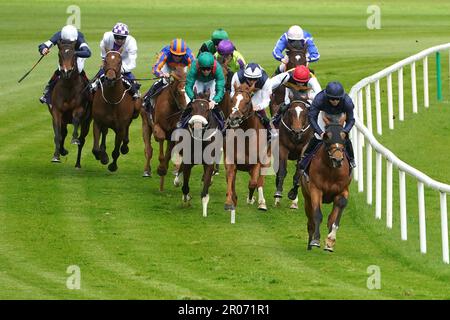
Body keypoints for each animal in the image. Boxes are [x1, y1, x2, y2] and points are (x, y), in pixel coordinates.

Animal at [49, 40, 91, 168]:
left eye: (74, 55)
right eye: (59, 54)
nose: (66, 72)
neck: (68, 86)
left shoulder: (79, 108)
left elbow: (76, 120)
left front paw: (74, 139)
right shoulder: (57, 112)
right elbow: (58, 135)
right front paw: (56, 155)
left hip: (87, 122)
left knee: (82, 140)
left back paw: (77, 163)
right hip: (64, 121)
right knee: (63, 133)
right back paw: (62, 151)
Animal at [225, 81, 270, 224]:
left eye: (247, 101)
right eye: (232, 100)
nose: (233, 118)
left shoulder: (257, 163)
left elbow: (253, 183)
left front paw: (250, 199)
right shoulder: (230, 161)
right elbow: (230, 179)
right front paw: (230, 202)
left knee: (259, 181)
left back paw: (261, 202)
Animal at [294, 114, 354, 251]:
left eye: (344, 137)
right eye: (327, 136)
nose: (337, 159)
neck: (331, 169)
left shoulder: (343, 190)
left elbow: (337, 212)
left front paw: (331, 240)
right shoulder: (316, 189)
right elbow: (317, 215)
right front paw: (316, 240)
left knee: (330, 218)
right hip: (306, 196)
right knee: (310, 220)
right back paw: (310, 243)